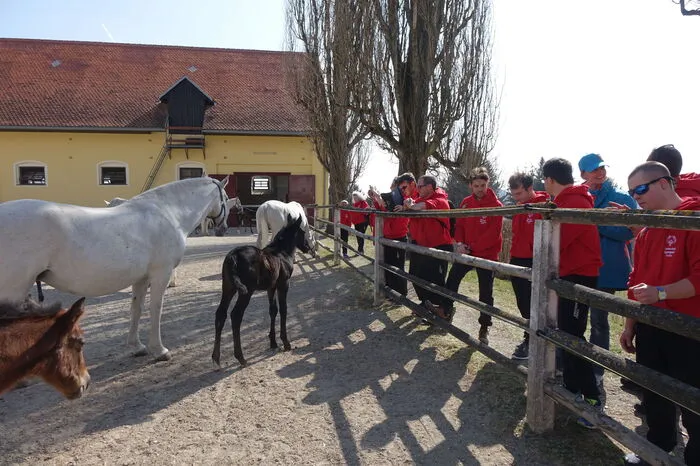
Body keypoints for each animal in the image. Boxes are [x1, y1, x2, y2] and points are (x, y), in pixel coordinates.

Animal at [0, 176, 230, 361]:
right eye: (226, 198)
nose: (223, 228)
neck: (167, 213)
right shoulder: (160, 274)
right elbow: (156, 309)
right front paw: (159, 350)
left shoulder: (141, 278)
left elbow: (136, 309)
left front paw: (136, 347)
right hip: (14, 290)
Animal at [212, 214, 310, 368]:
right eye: (302, 232)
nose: (307, 247)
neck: (281, 252)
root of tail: (234, 256)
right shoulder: (283, 285)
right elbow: (284, 310)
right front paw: (286, 342)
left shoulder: (271, 287)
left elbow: (273, 310)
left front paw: (273, 342)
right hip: (246, 291)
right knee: (236, 315)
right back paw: (241, 358)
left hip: (228, 287)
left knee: (220, 314)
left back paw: (216, 359)